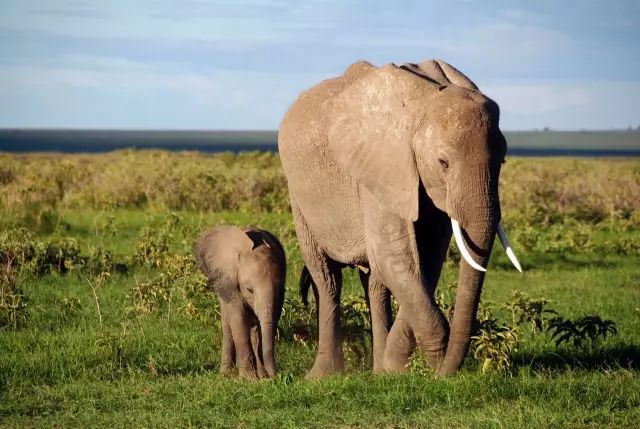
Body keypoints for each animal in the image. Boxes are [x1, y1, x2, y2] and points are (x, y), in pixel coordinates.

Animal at [194, 224, 286, 378]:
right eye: (249, 290)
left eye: (279, 287)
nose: (275, 375)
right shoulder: (230, 282)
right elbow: (238, 319)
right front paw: (249, 378)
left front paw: (261, 377)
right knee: (228, 325)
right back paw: (226, 374)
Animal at [278, 58, 520, 376]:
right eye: (443, 163)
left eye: (502, 161)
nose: (445, 375)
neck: (424, 103)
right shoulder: (380, 166)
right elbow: (396, 260)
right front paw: (425, 365)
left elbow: (424, 262)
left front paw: (394, 368)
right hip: (299, 197)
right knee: (327, 278)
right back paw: (323, 376)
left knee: (375, 282)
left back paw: (377, 369)